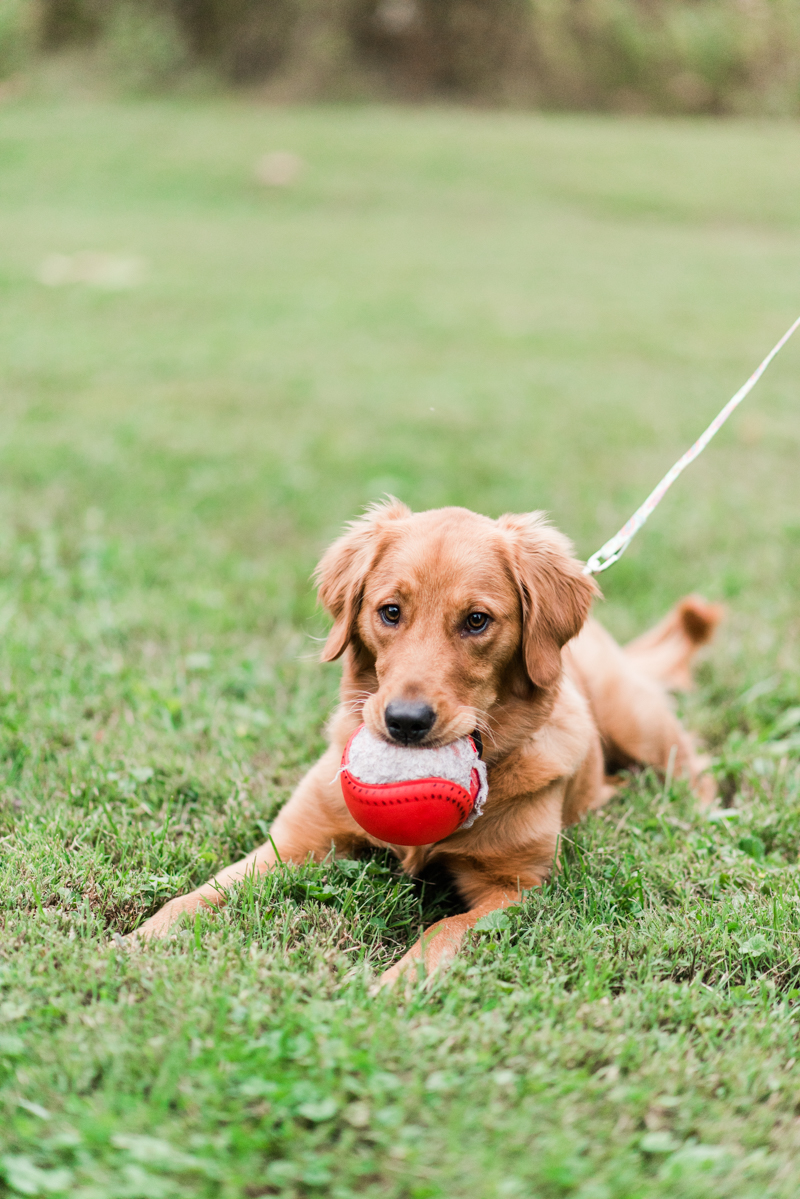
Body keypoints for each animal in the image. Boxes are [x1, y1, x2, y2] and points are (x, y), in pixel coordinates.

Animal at [131, 501, 719, 978]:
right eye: (390, 611)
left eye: (477, 620)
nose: (406, 722)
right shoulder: (293, 842)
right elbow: (200, 894)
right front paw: (135, 943)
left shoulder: (516, 887)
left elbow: (444, 930)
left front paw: (394, 986)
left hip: (637, 721)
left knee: (695, 765)